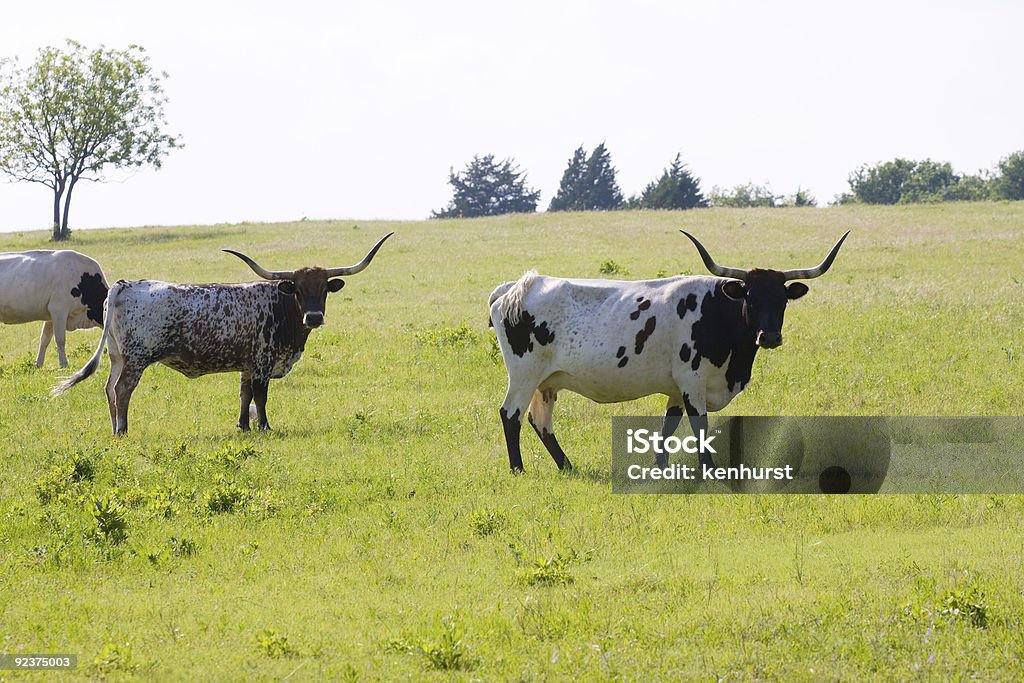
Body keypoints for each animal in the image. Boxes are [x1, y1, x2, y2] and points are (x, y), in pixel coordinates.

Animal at [51, 235, 395, 436]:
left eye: (324, 289)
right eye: (297, 289)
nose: (313, 317)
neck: (279, 305)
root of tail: (125, 284)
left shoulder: (247, 366)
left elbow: (244, 395)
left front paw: (243, 427)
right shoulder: (262, 363)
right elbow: (260, 396)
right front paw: (264, 427)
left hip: (117, 356)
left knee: (109, 389)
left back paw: (114, 429)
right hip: (137, 359)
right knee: (122, 391)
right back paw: (123, 430)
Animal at [487, 232, 847, 473]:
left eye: (782, 300)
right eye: (751, 298)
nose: (769, 336)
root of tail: (518, 286)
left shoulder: (676, 389)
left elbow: (667, 428)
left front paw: (659, 470)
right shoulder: (692, 380)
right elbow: (700, 427)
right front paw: (710, 472)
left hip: (546, 382)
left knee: (540, 422)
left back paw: (567, 467)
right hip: (524, 374)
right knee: (511, 415)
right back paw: (518, 470)